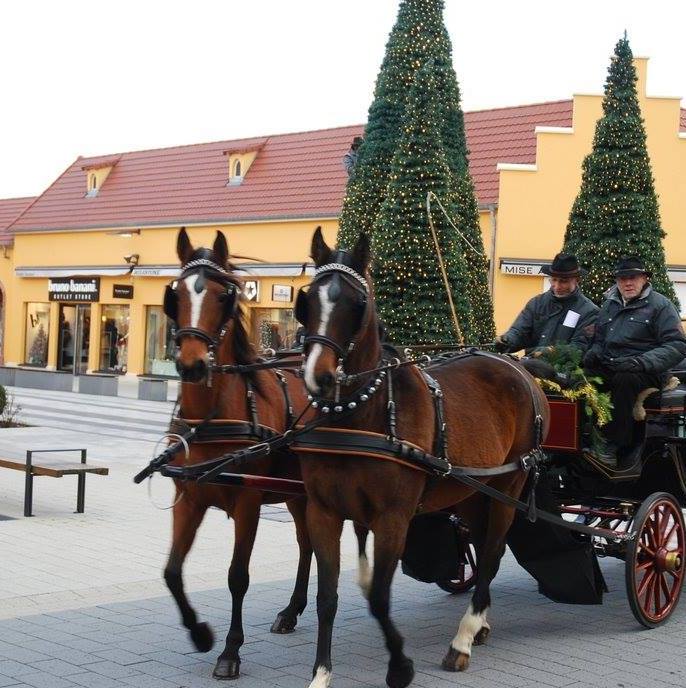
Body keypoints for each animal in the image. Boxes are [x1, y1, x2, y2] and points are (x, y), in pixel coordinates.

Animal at [165, 228, 316, 680]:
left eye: (222, 296)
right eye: (176, 294)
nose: (193, 364)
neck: (212, 418)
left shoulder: (248, 503)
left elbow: (237, 576)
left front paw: (230, 651)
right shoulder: (188, 499)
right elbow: (172, 572)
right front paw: (200, 634)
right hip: (296, 494)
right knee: (307, 544)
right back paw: (292, 610)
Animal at [298, 230, 552, 688]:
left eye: (357, 304)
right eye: (308, 301)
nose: (319, 377)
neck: (364, 414)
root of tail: (519, 368)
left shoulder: (393, 518)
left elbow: (380, 599)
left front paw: (400, 666)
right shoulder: (322, 512)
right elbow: (327, 597)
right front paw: (321, 674)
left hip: (509, 484)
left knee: (492, 551)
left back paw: (463, 639)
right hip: (472, 491)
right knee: (484, 547)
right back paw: (480, 624)